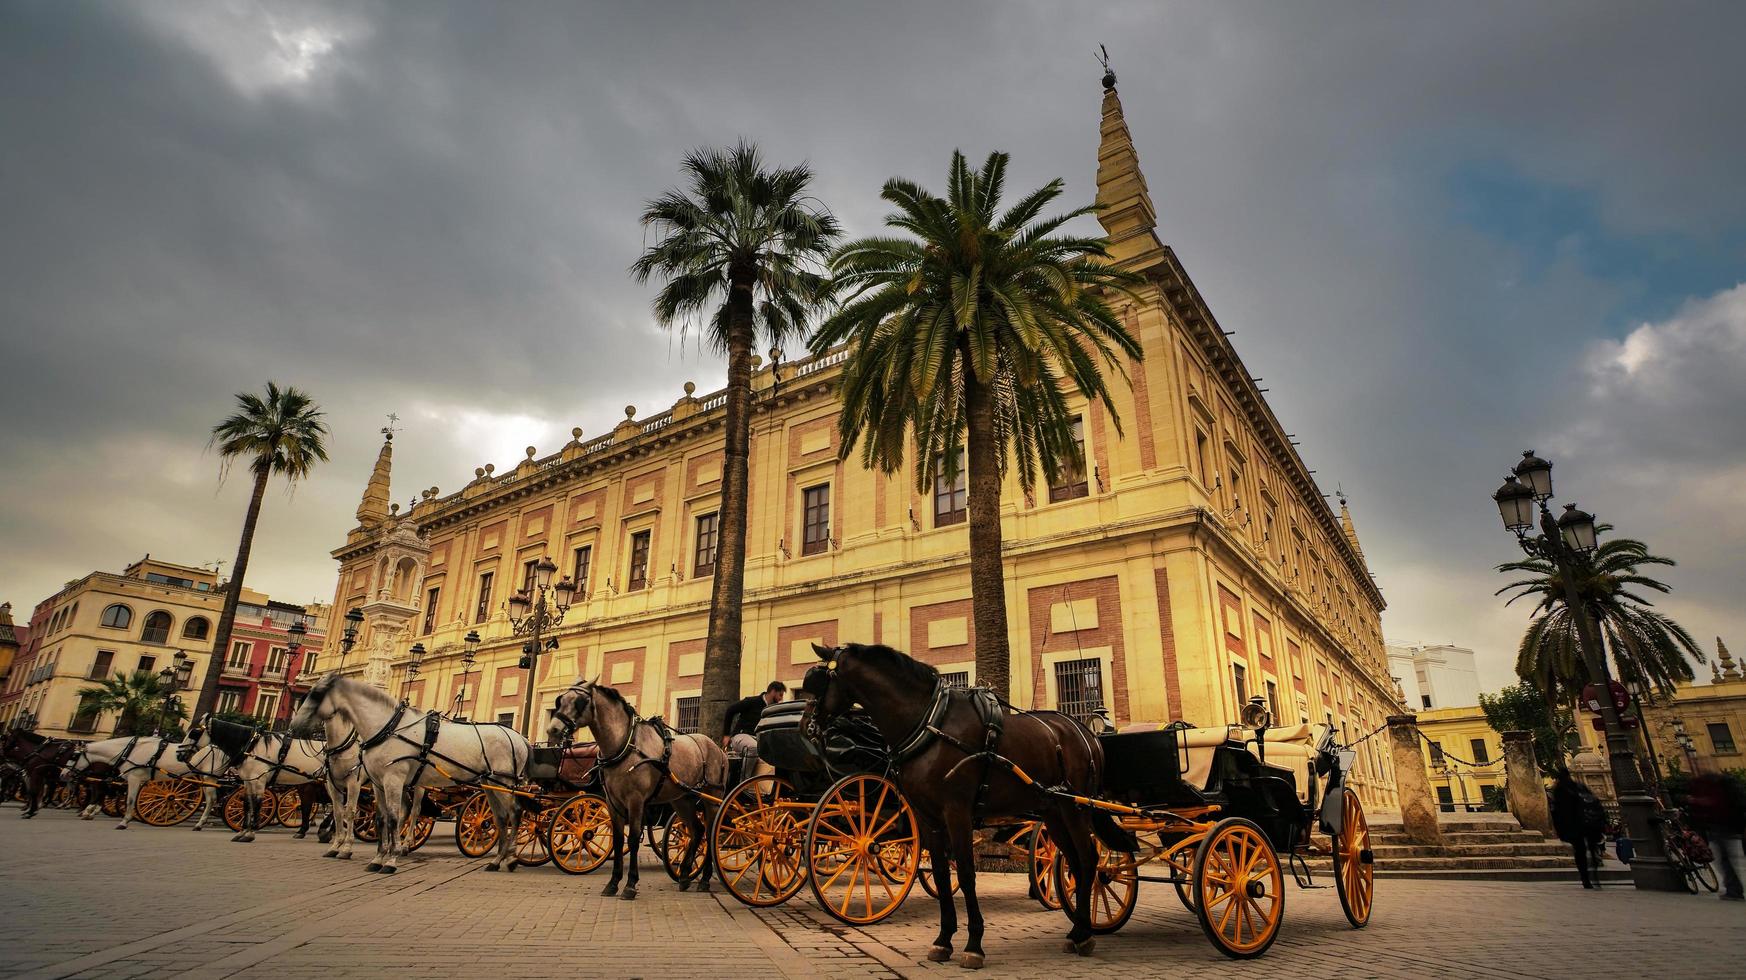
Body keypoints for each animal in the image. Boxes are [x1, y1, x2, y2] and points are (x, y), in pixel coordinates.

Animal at [65, 733, 223, 824]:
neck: (129, 750)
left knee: (211, 799)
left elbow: (130, 799)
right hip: (204, 779)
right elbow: (140, 799)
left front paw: (124, 821)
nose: (64, 774)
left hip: (209, 778)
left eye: (73, 756)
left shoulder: (135, 776)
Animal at [289, 670, 523, 869]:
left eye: (316, 695)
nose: (294, 727)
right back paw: (498, 859)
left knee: (513, 812)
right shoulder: (370, 783)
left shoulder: (371, 779)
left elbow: (378, 815)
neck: (387, 727)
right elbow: (376, 817)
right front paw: (376, 857)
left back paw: (509, 858)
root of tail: (517, 737)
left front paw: (384, 859)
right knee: (501, 817)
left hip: (499, 783)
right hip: (488, 784)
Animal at [551, 677, 729, 901]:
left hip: (712, 797)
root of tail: (717, 748)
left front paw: (630, 884)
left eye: (579, 702)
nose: (553, 730)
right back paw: (685, 876)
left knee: (710, 833)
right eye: (560, 700)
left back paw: (704, 879)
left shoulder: (635, 801)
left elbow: (634, 839)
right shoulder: (613, 803)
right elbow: (619, 840)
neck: (625, 746)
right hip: (681, 799)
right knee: (697, 830)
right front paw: (613, 883)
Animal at [803, 639, 1117, 964]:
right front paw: (943, 939)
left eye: (817, 682)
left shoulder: (957, 812)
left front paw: (974, 943)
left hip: (1075, 807)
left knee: (1088, 859)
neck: (929, 722)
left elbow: (966, 874)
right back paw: (1077, 931)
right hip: (1053, 812)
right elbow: (942, 875)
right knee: (1075, 863)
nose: (806, 726)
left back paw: (1084, 933)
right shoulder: (927, 817)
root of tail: (1087, 732)